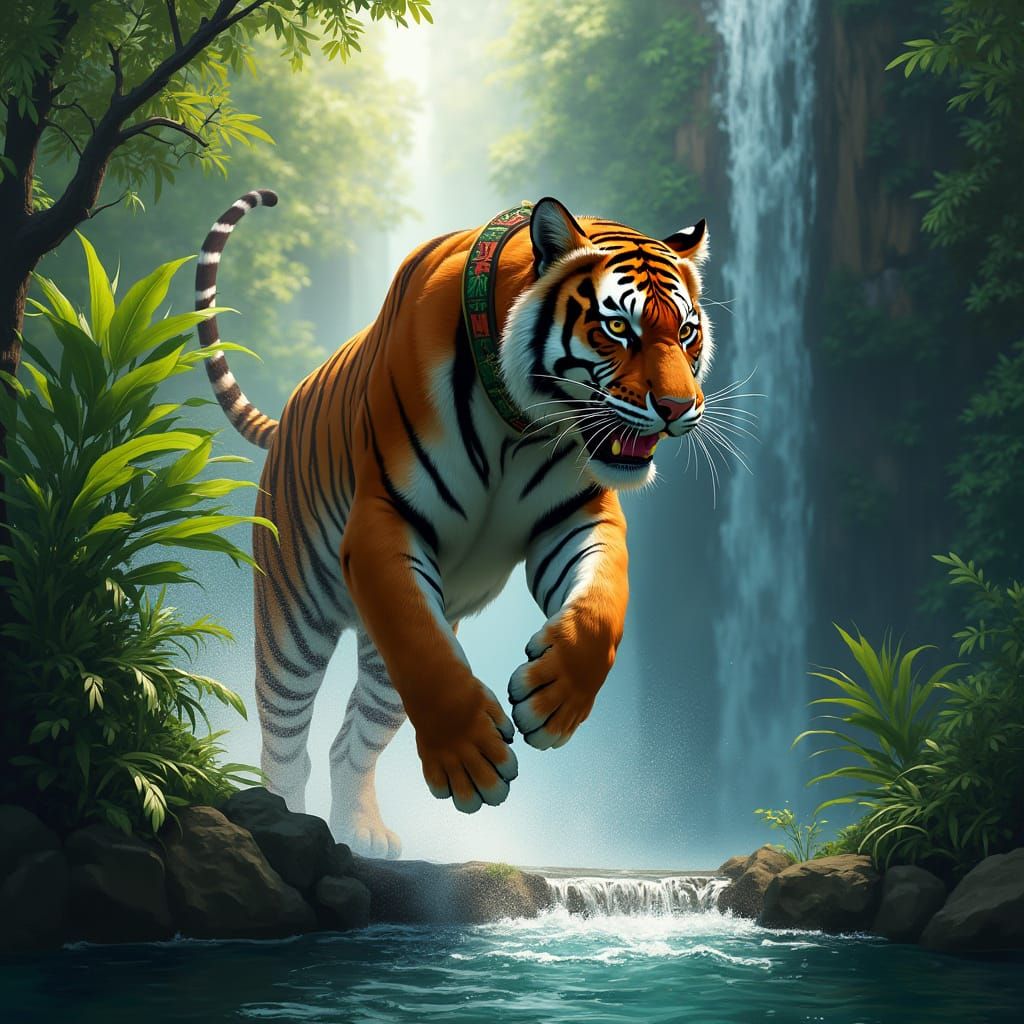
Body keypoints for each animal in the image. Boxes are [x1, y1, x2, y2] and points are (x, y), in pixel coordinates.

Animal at [195, 189, 712, 859]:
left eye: (687, 331)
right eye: (618, 327)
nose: (679, 409)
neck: (523, 424)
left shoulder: (578, 517)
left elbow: (601, 608)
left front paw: (554, 700)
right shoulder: (384, 520)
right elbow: (424, 650)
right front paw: (471, 759)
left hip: (379, 673)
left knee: (350, 742)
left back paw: (360, 831)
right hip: (293, 623)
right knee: (285, 739)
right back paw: (284, 817)